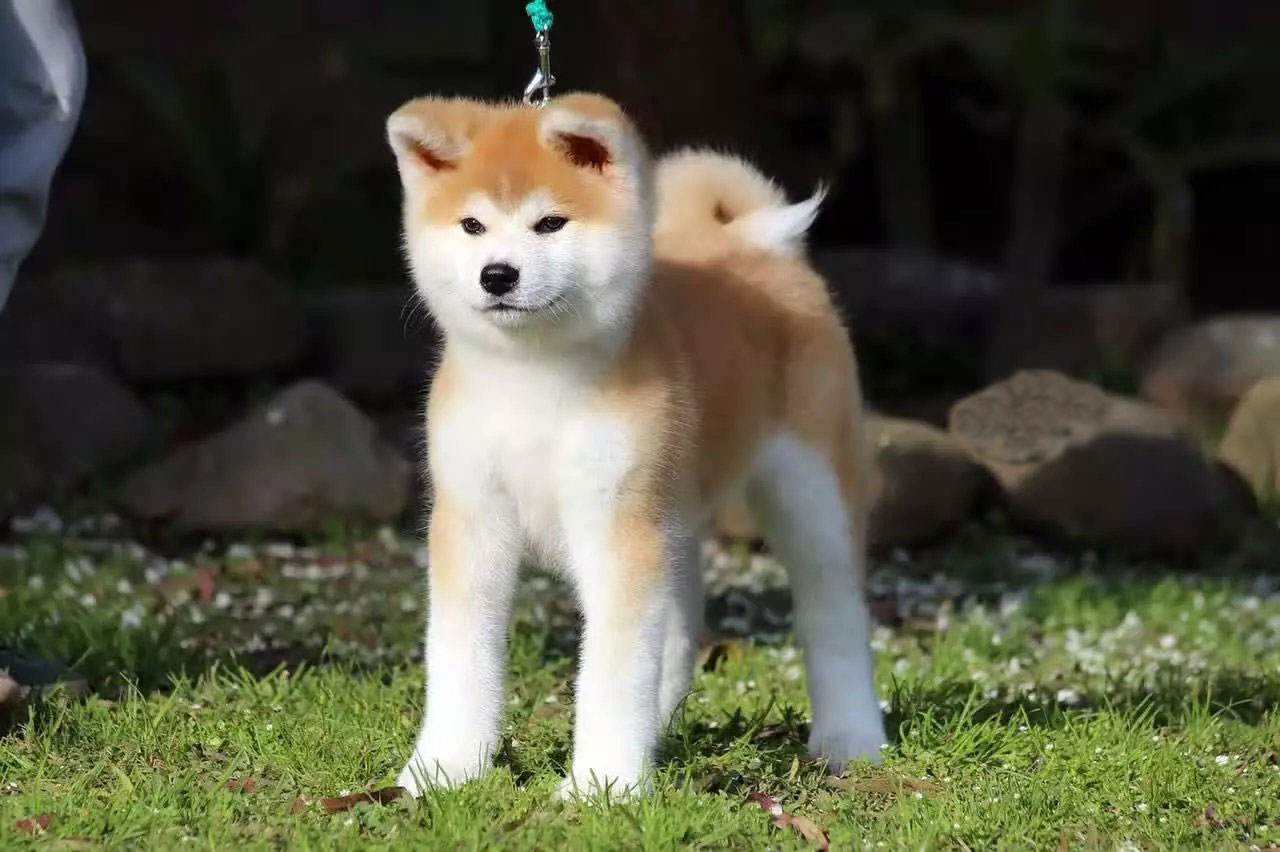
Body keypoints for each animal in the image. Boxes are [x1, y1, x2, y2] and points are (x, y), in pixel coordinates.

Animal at [386, 94, 890, 798]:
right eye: (472, 226)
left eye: (550, 223)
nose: (497, 274)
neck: (533, 380)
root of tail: (757, 243)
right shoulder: (473, 519)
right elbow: (459, 659)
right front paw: (444, 769)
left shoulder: (617, 525)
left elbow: (612, 671)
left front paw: (602, 785)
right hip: (674, 518)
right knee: (678, 638)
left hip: (811, 495)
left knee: (833, 615)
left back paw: (850, 739)